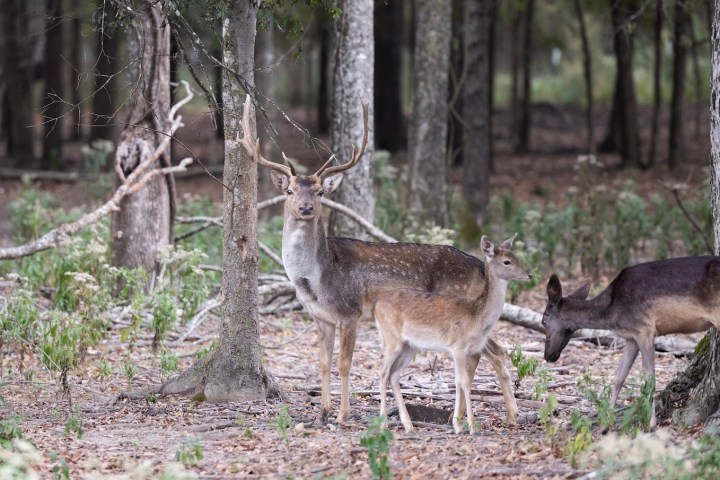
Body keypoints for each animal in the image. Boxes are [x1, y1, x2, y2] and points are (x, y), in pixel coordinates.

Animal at [238, 95, 522, 426]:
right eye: (289, 191)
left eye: (320, 192)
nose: (306, 208)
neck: (315, 280)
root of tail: (481, 266)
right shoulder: (321, 318)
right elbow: (322, 363)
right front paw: (322, 412)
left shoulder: (349, 312)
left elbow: (344, 364)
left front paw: (342, 415)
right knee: (499, 353)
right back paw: (511, 415)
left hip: (462, 310)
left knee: (483, 355)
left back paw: (469, 416)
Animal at [373, 235, 532, 434]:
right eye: (507, 261)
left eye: (515, 256)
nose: (529, 274)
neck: (477, 316)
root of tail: (376, 307)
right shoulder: (457, 347)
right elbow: (465, 381)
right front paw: (471, 426)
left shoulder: (464, 350)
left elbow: (457, 381)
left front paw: (458, 425)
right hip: (391, 339)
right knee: (382, 372)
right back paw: (383, 424)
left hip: (410, 346)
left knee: (394, 375)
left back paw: (408, 425)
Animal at [542, 255, 720, 430]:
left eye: (543, 321)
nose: (548, 355)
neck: (612, 312)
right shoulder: (631, 337)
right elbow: (619, 377)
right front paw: (605, 425)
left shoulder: (644, 328)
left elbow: (649, 377)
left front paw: (651, 425)